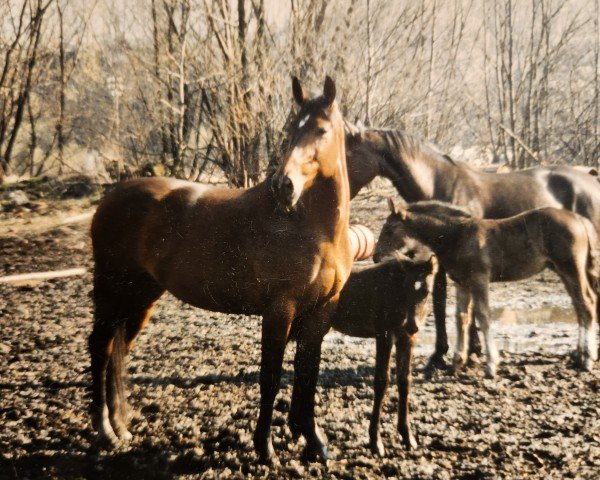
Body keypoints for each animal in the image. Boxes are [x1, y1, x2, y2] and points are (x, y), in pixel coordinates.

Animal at [88, 78, 352, 464]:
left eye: (321, 130)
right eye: (291, 130)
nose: (283, 186)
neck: (311, 227)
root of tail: (111, 197)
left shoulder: (322, 312)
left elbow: (308, 373)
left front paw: (314, 442)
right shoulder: (280, 311)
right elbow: (270, 377)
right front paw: (265, 448)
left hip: (140, 298)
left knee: (116, 351)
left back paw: (120, 428)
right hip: (112, 293)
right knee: (101, 348)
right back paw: (105, 431)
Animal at [332, 253, 436, 456]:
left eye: (427, 291)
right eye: (406, 290)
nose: (412, 326)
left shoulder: (406, 339)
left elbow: (405, 381)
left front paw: (408, 437)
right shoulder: (384, 335)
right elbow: (382, 381)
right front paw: (376, 442)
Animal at [344, 125, 600, 370]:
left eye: (347, 153)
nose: (377, 257)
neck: (439, 183)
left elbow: (453, 307)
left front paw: (460, 355)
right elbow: (457, 310)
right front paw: (463, 354)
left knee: (588, 299)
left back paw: (587, 356)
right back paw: (580, 354)